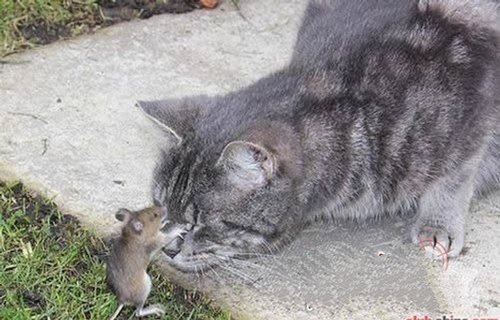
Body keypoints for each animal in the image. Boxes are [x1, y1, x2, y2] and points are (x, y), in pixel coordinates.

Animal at [138, 0, 500, 272]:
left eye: (202, 222)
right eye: (160, 207)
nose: (167, 249)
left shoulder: (474, 115)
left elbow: (454, 176)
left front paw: (437, 224)